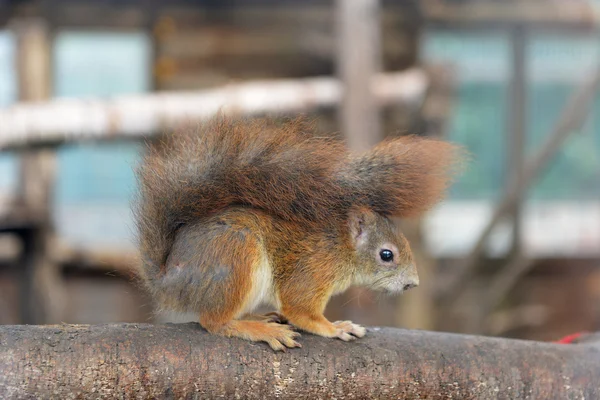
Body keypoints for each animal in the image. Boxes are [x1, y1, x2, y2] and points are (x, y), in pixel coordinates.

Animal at [135, 115, 460, 350]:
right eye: (387, 255)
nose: (412, 284)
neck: (340, 247)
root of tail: (170, 278)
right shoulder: (313, 270)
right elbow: (301, 310)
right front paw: (335, 327)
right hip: (235, 256)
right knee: (214, 322)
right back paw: (258, 329)